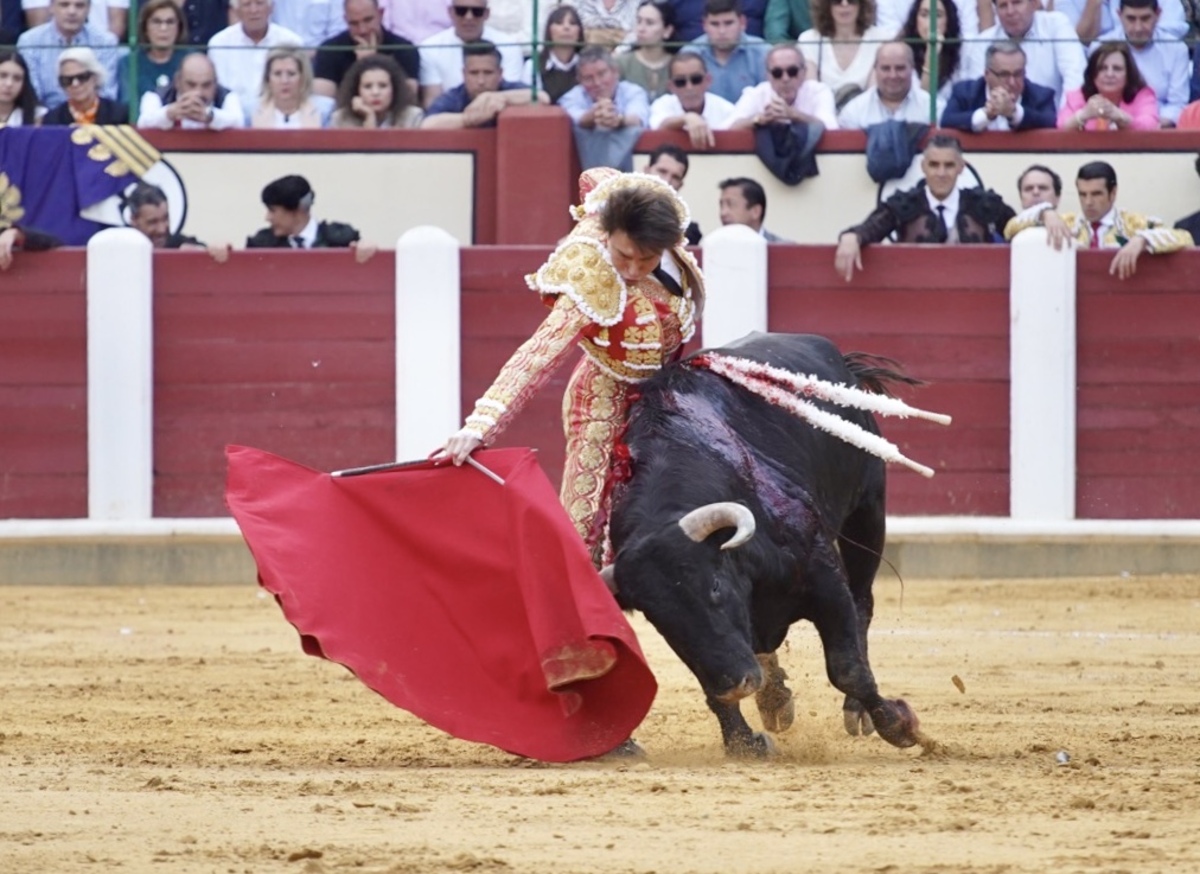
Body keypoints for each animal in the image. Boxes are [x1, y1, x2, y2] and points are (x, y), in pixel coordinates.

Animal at [604, 331, 921, 753]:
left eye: (715, 586)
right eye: (657, 617)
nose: (735, 683)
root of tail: (838, 359)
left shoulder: (823, 578)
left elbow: (846, 666)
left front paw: (898, 725)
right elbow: (711, 682)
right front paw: (742, 741)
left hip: (869, 509)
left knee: (862, 605)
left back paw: (856, 711)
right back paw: (774, 699)